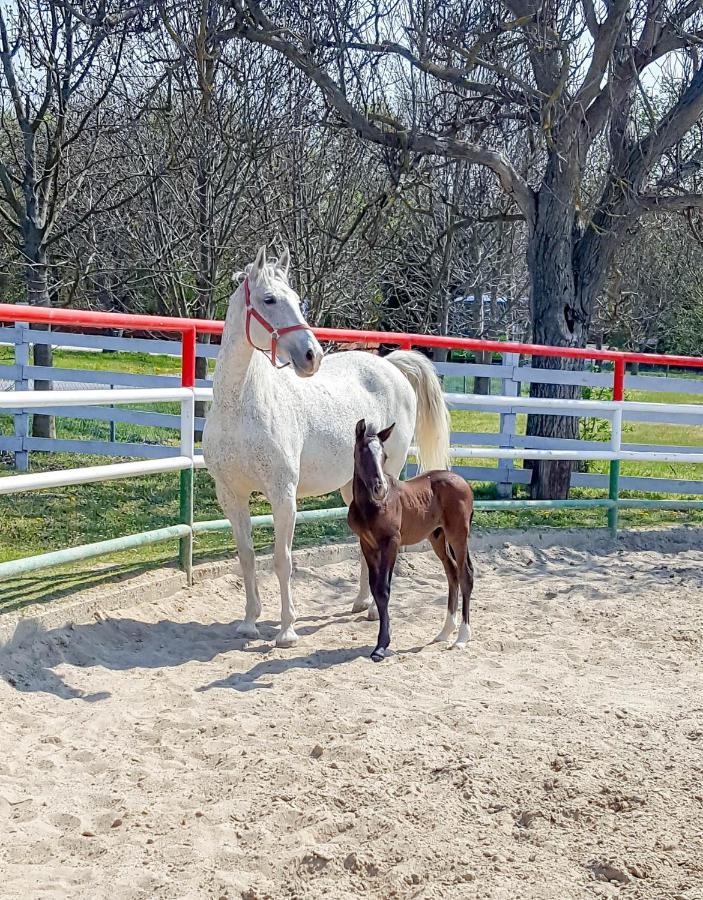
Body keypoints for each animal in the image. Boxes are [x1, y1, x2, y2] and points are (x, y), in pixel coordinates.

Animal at [202, 246, 452, 648]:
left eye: (296, 299)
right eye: (269, 299)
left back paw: (372, 609)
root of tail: (391, 366)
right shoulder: (230, 495)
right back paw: (361, 601)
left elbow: (282, 559)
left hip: (387, 474)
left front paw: (287, 630)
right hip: (352, 485)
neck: (241, 406)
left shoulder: (282, 494)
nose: (312, 356)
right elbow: (247, 557)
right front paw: (250, 622)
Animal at [348, 420, 476, 660]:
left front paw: (381, 646)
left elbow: (383, 590)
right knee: (452, 573)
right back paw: (445, 632)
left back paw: (462, 638)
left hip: (458, 534)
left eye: (385, 456)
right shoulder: (367, 544)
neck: (370, 507)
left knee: (465, 575)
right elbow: (375, 588)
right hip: (438, 536)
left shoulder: (391, 543)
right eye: (362, 453)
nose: (380, 489)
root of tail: (464, 482)